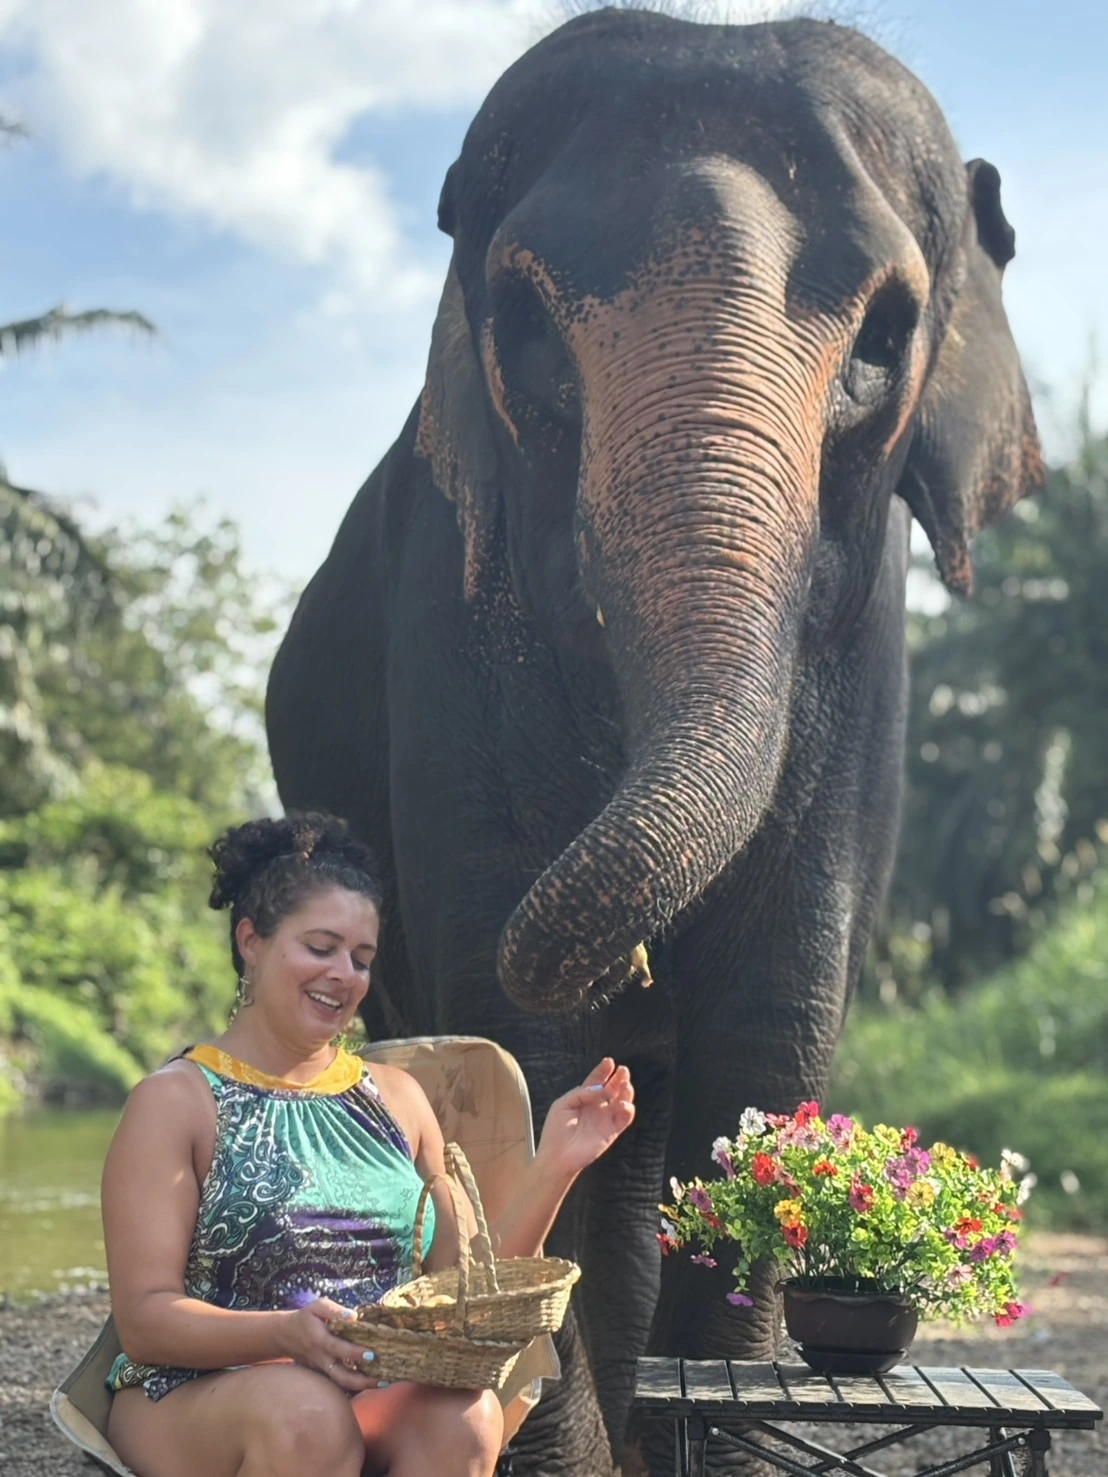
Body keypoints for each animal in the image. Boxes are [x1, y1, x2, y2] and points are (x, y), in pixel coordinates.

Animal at [264, 5, 1045, 1471]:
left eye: (887, 327)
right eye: (520, 313)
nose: (632, 958)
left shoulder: (866, 669)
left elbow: (768, 1039)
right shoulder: (450, 631)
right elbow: (517, 1043)